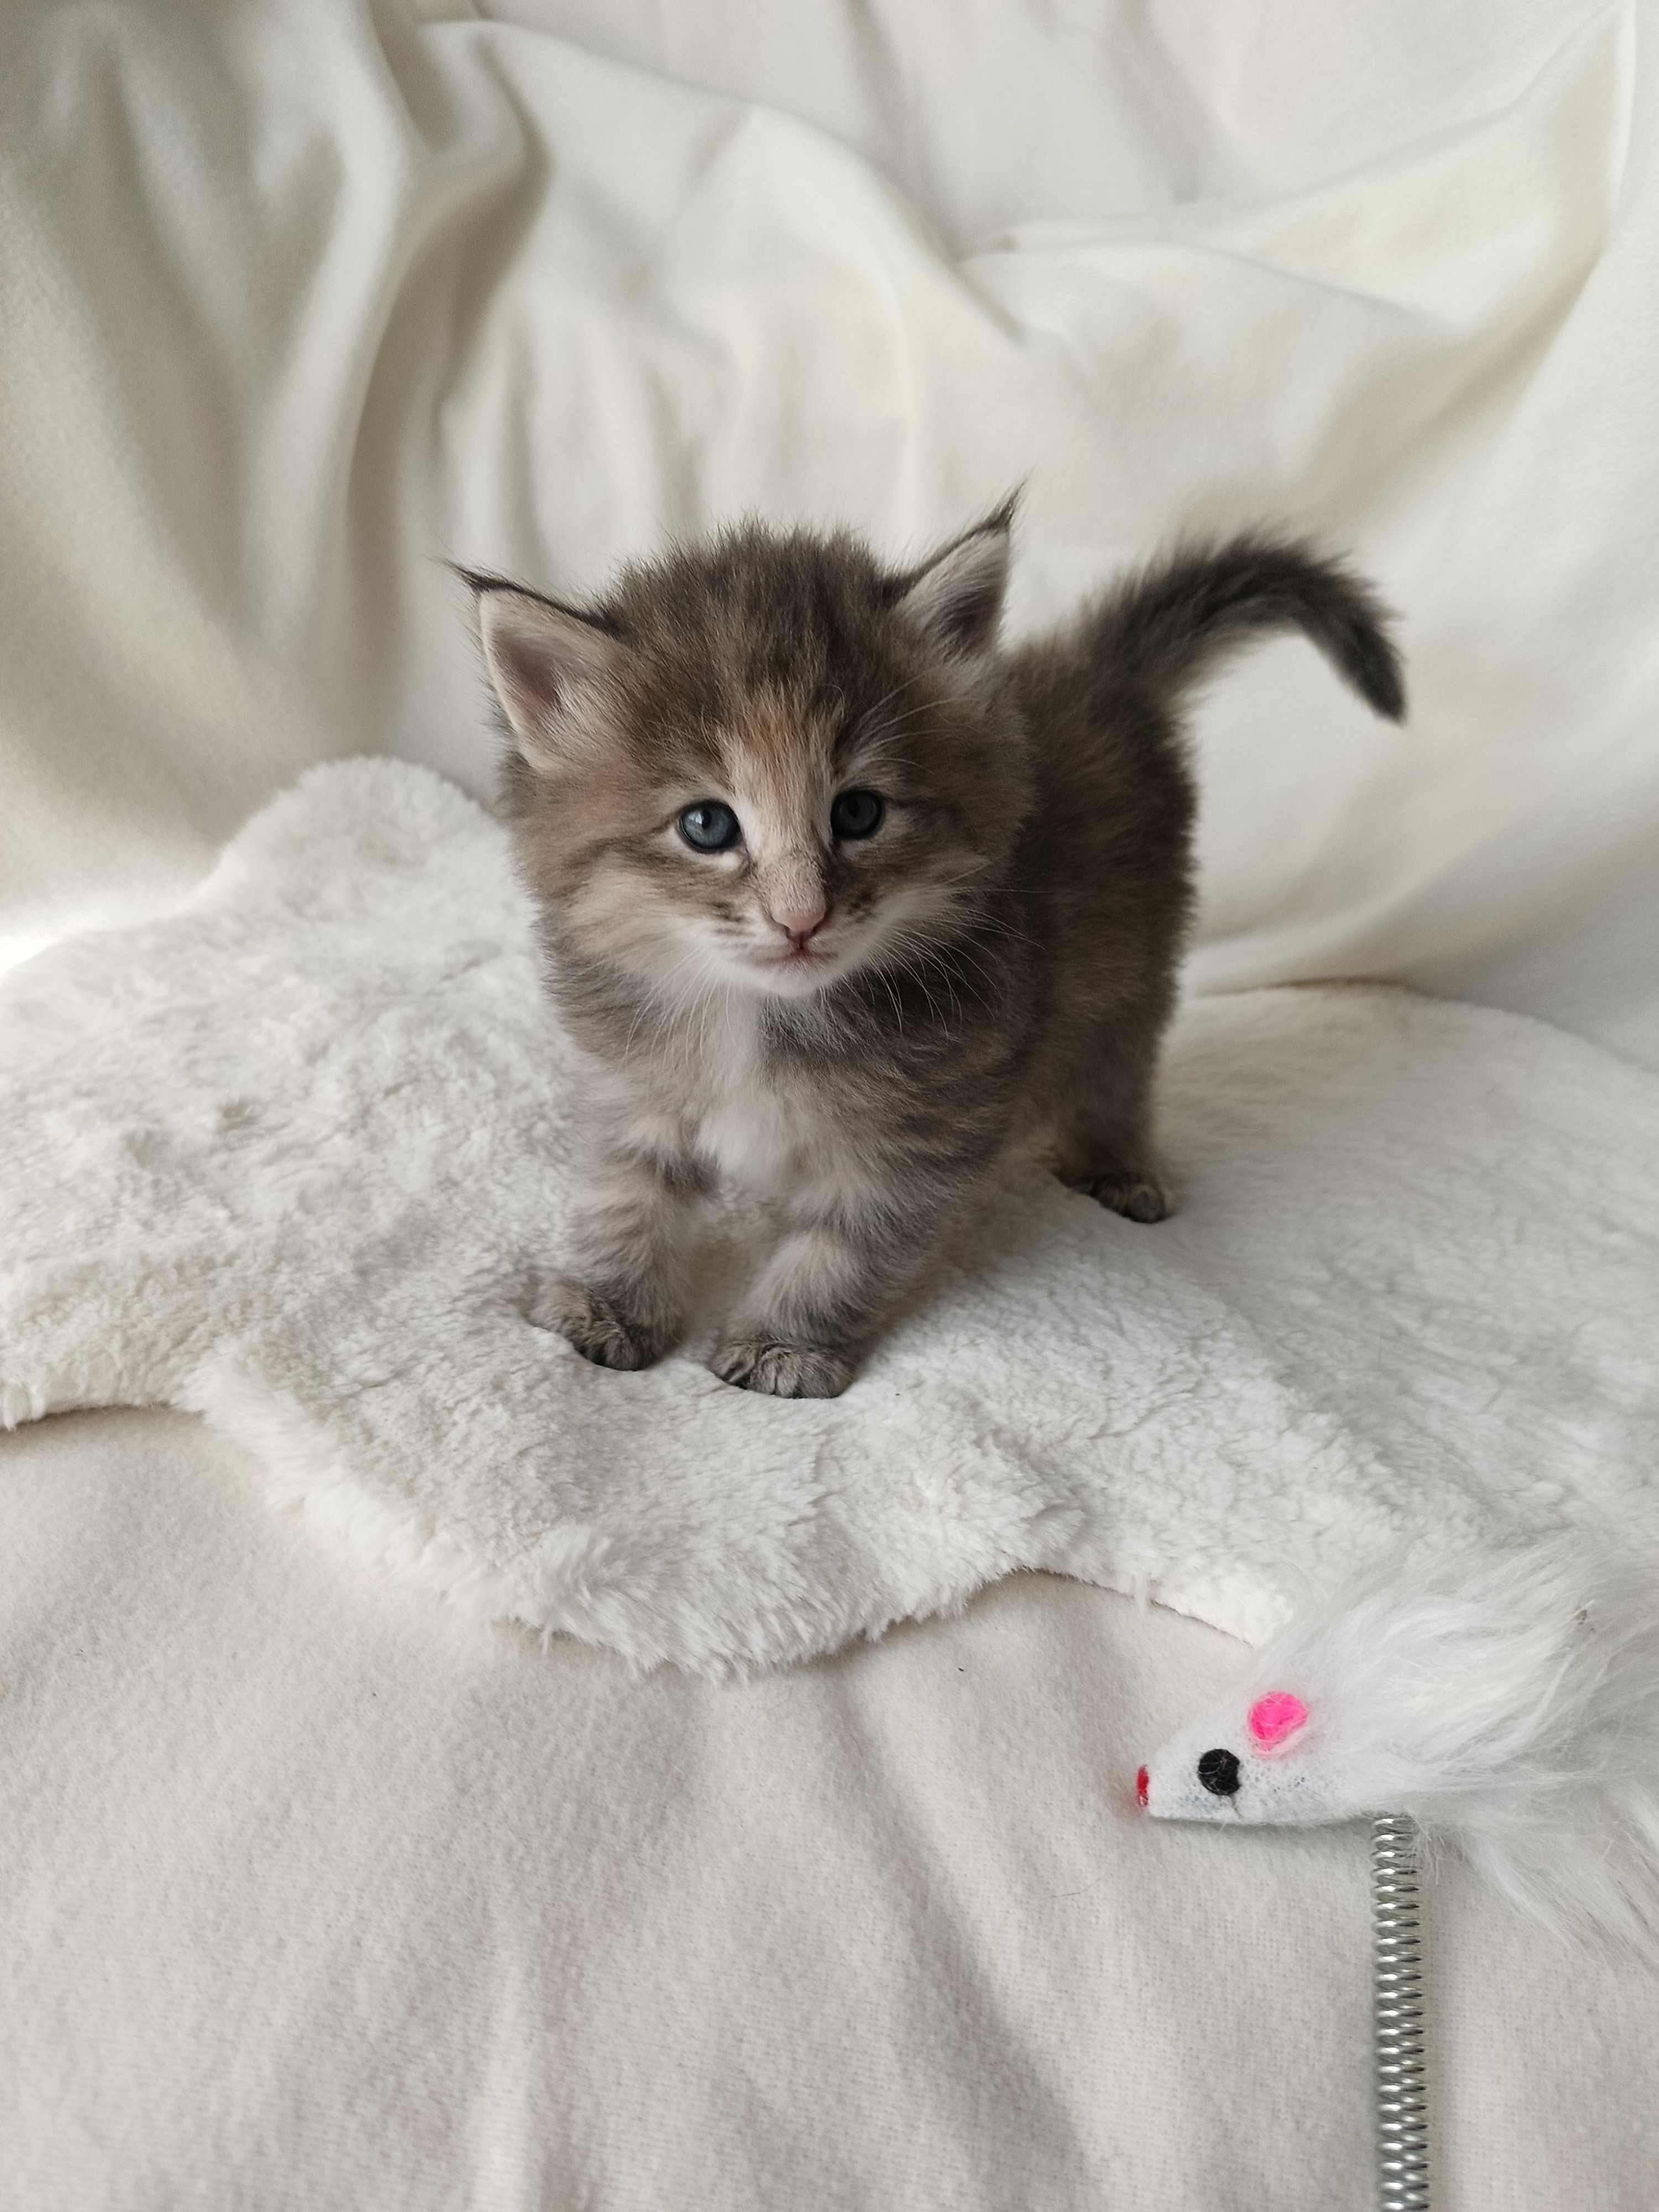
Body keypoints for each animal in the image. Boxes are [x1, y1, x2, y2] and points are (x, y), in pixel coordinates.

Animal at [463, 505, 1403, 1397]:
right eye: (706, 826)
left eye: (858, 813)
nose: (801, 918)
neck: (763, 1020)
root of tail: (1094, 672)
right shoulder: (636, 1092)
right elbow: (627, 1203)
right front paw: (609, 1306)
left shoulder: (913, 1137)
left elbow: (838, 1252)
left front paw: (783, 1345)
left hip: (1130, 968)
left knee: (1117, 1071)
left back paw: (1119, 1164)